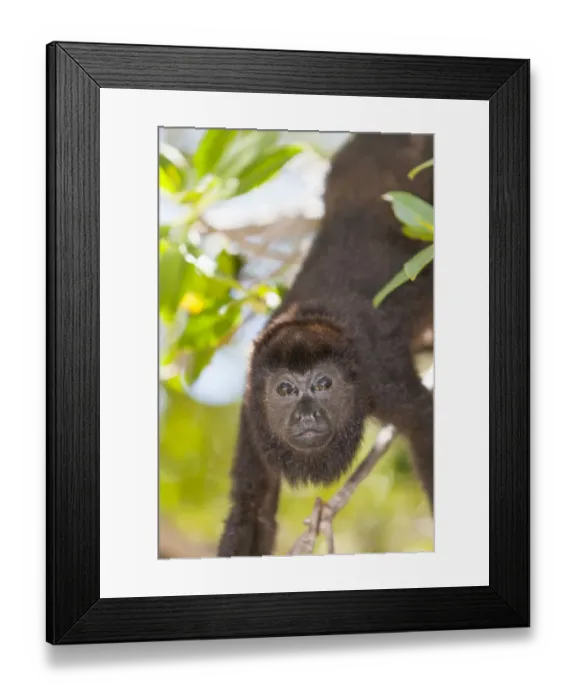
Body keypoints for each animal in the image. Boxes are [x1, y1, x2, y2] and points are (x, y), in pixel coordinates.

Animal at [217, 132, 434, 557]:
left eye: (323, 384)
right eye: (285, 389)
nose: (305, 417)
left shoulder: (378, 373)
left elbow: (425, 423)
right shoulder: (252, 410)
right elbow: (250, 506)